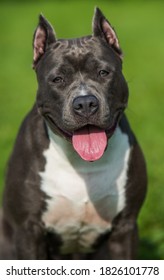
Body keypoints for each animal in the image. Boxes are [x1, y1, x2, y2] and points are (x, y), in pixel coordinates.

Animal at [0, 7, 147, 260]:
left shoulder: (125, 228)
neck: (82, 163)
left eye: (103, 72)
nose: (85, 103)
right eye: (57, 79)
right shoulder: (28, 230)